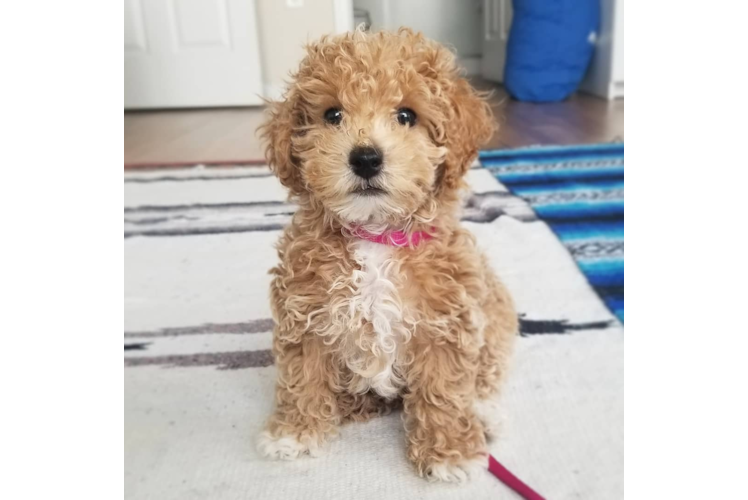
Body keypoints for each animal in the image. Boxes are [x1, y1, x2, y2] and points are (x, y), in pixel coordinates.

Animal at [258, 29, 516, 482]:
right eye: (333, 115)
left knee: (488, 369)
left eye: (407, 115)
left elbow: (444, 389)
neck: (376, 235)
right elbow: (302, 375)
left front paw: (448, 453)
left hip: (496, 310)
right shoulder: (305, 315)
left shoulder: (446, 322)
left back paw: (485, 413)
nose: (365, 157)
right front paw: (295, 431)